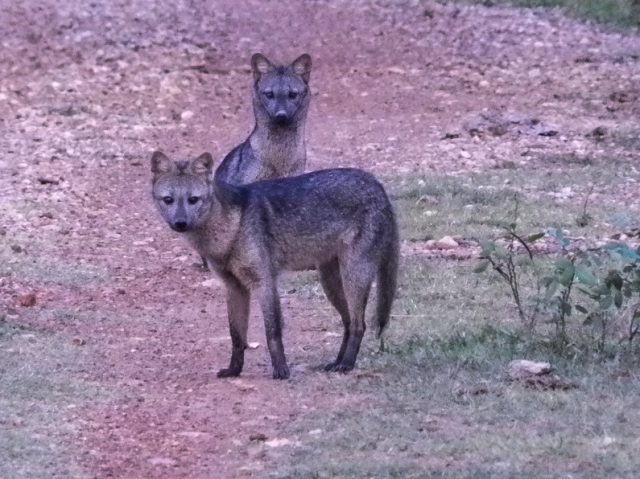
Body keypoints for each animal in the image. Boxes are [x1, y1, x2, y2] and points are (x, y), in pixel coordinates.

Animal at [152, 152, 398, 380]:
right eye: (168, 200)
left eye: (193, 200)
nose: (180, 223)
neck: (231, 229)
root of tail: (377, 184)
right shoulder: (234, 287)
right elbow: (236, 337)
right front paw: (234, 370)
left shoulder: (264, 282)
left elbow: (273, 332)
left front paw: (281, 370)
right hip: (331, 282)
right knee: (348, 323)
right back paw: (337, 362)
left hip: (353, 277)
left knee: (359, 325)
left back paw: (346, 365)